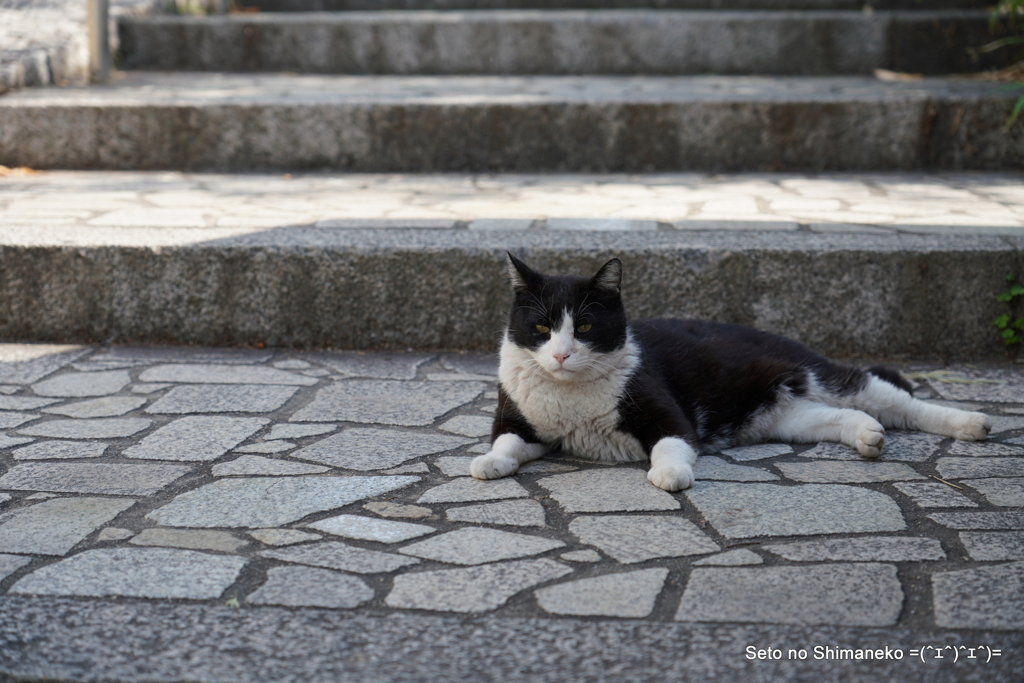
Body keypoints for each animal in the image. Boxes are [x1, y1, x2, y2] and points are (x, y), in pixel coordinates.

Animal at [468, 254, 991, 491]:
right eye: (541, 327)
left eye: (586, 327)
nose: (560, 355)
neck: (570, 392)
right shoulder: (518, 419)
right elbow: (507, 442)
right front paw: (490, 462)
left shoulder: (666, 413)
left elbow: (671, 444)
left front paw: (671, 473)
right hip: (785, 417)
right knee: (842, 418)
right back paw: (869, 437)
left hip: (822, 375)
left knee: (892, 398)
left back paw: (971, 423)